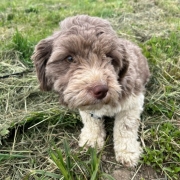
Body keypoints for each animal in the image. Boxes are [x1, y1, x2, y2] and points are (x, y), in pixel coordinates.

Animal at [31, 14, 150, 167]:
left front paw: (127, 151)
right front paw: (92, 140)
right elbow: (91, 120)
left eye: (110, 57)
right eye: (69, 58)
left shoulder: (133, 100)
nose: (101, 89)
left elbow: (125, 126)